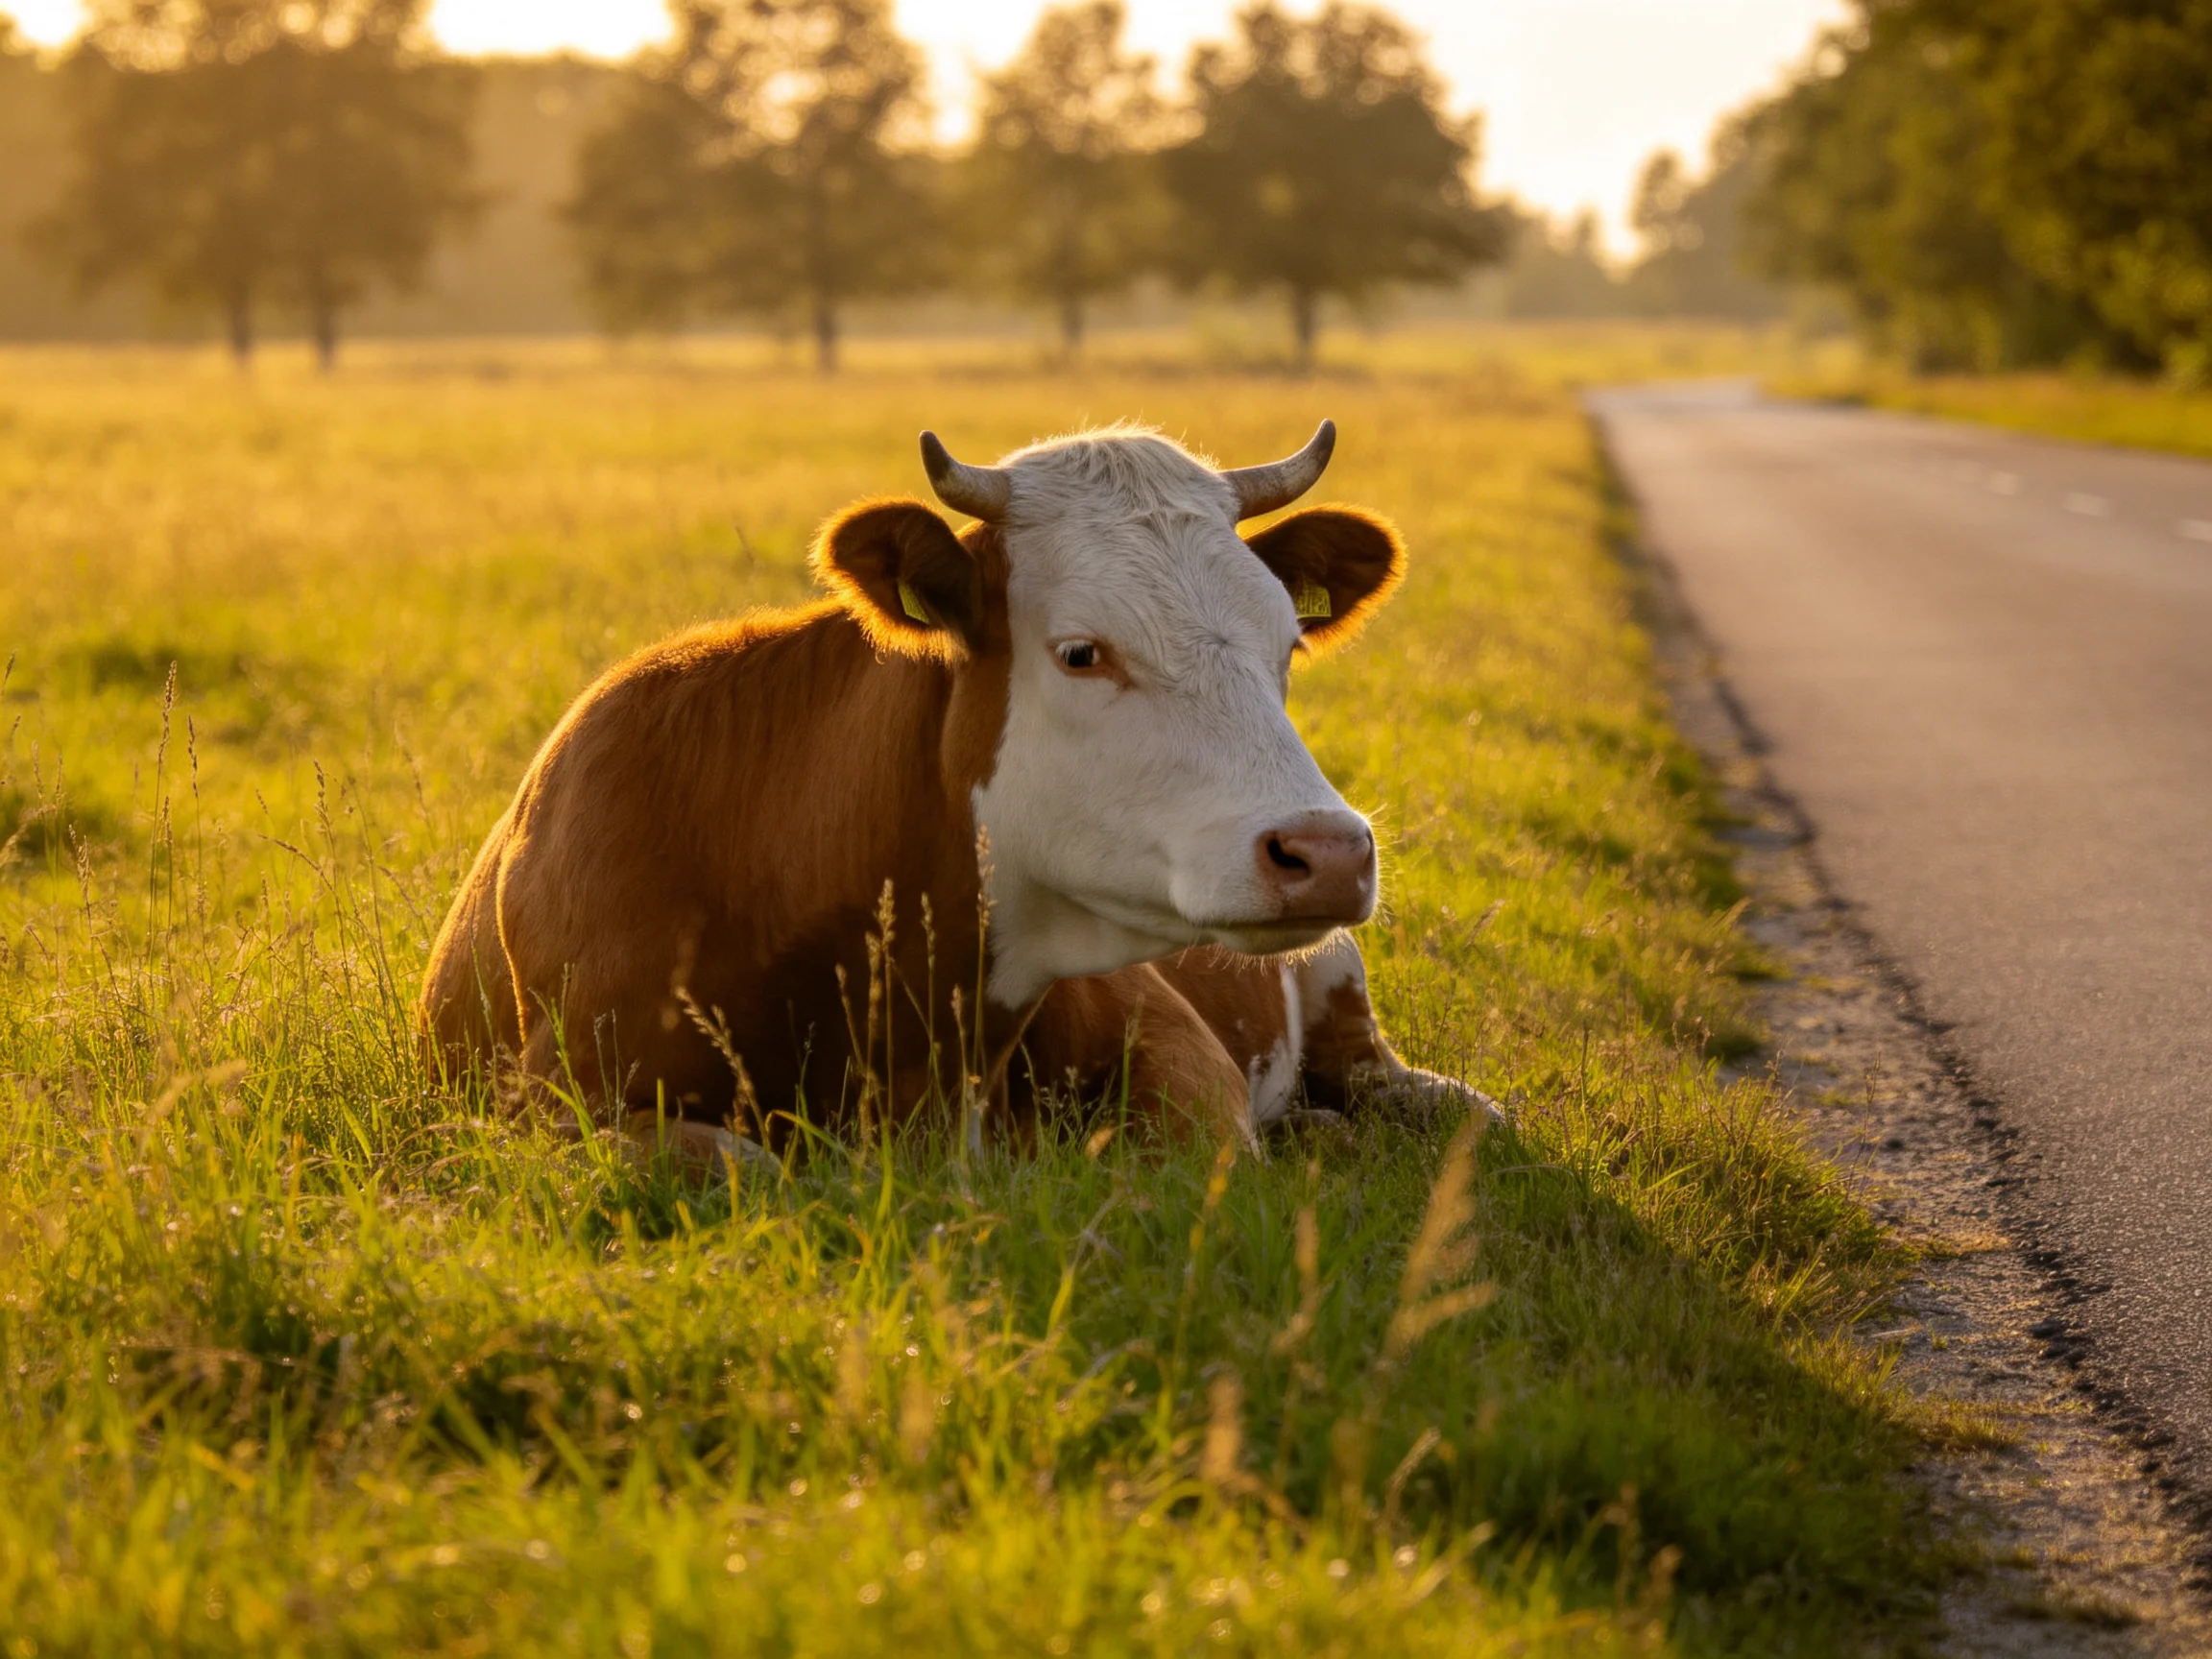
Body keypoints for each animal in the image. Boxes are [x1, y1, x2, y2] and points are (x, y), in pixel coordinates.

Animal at [418, 420, 1492, 1162]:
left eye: (1287, 647)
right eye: (1081, 652)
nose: (1329, 853)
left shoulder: (1173, 1044)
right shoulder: (543, 1100)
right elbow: (720, 1161)